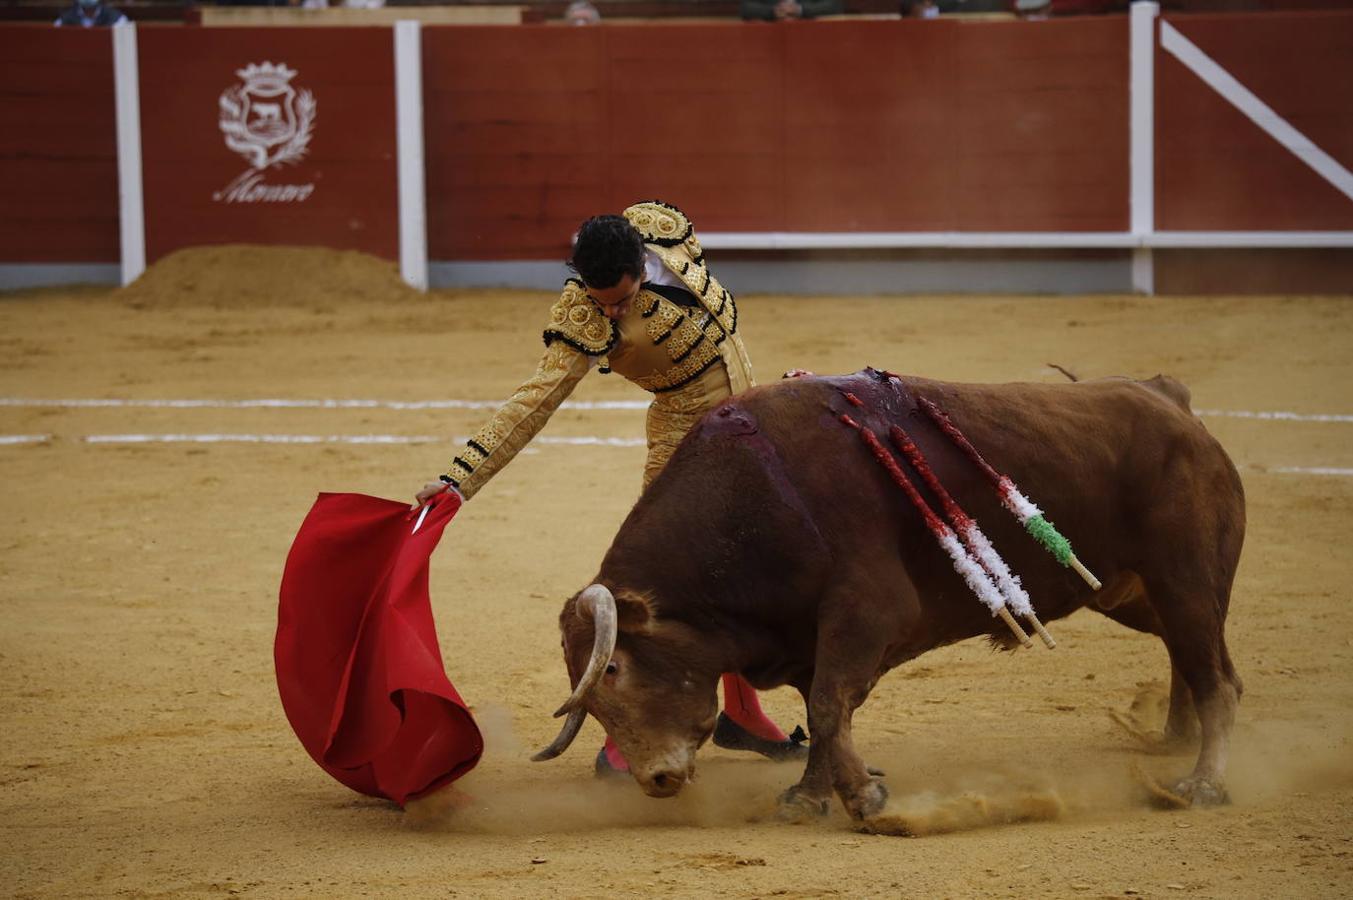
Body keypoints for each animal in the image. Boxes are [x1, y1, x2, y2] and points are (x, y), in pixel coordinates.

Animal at [530, 368, 1244, 817]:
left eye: (613, 669)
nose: (655, 780)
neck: (757, 498)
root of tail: (1171, 402)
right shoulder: (812, 638)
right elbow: (825, 710)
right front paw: (812, 797)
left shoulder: (868, 613)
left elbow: (828, 705)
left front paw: (862, 799)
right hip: (1135, 592)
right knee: (1197, 661)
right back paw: (1174, 740)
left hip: (1183, 578)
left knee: (1215, 677)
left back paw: (1202, 784)